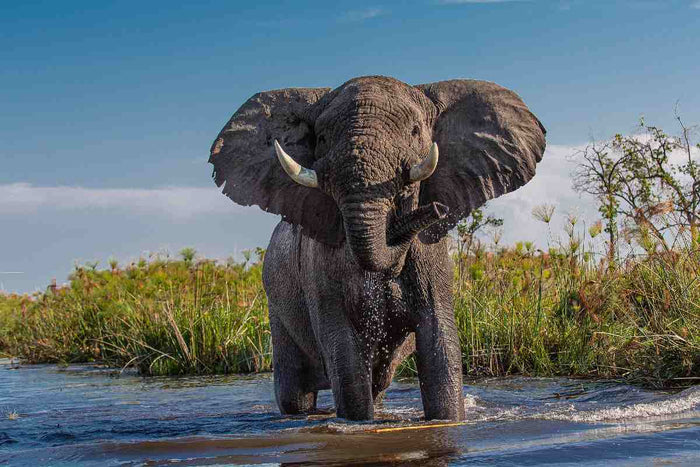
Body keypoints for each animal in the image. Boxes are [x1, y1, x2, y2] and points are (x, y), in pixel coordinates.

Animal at [209, 76, 546, 421]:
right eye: (322, 138)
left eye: (415, 131)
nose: (437, 208)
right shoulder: (319, 266)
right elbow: (343, 350)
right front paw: (358, 424)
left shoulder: (432, 257)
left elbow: (440, 342)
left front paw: (448, 421)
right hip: (276, 302)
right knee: (296, 393)